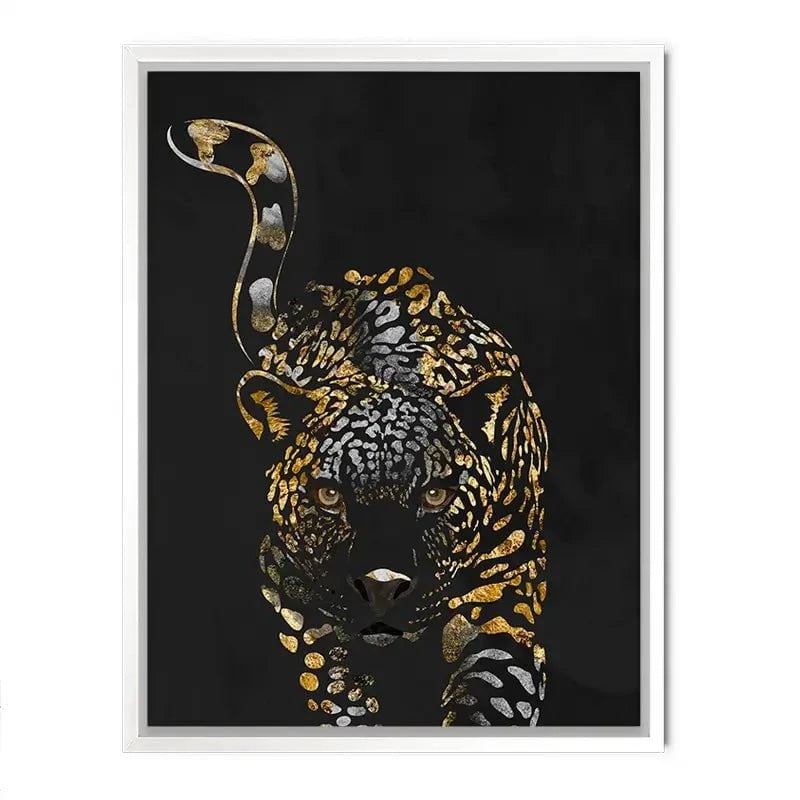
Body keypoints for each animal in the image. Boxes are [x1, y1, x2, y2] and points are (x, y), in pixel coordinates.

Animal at [168, 118, 549, 726]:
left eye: (437, 494)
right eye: (328, 495)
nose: (382, 585)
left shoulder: (505, 600)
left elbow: (492, 698)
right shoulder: (300, 607)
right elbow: (339, 696)